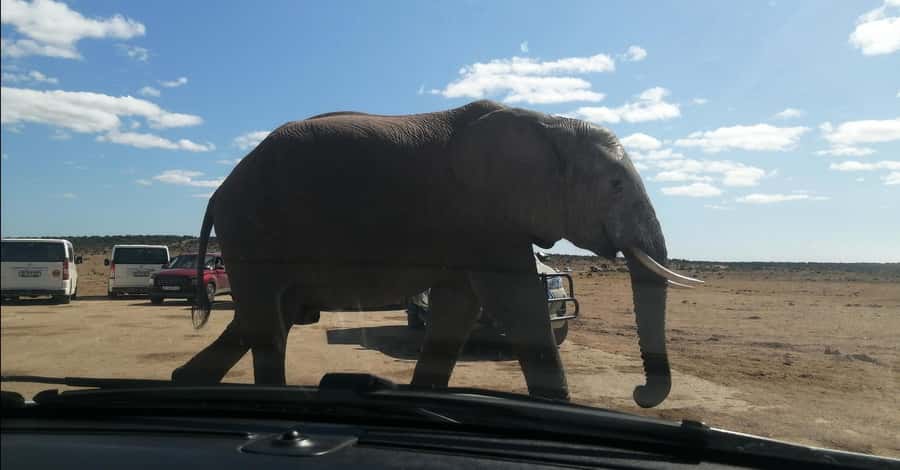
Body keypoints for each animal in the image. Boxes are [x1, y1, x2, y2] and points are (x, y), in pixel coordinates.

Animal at [171, 100, 702, 408]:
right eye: (615, 185)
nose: (640, 394)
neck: (549, 125)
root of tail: (220, 189)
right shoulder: (485, 214)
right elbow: (517, 301)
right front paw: (557, 405)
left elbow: (458, 305)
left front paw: (423, 395)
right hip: (254, 227)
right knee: (265, 315)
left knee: (266, 316)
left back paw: (185, 381)